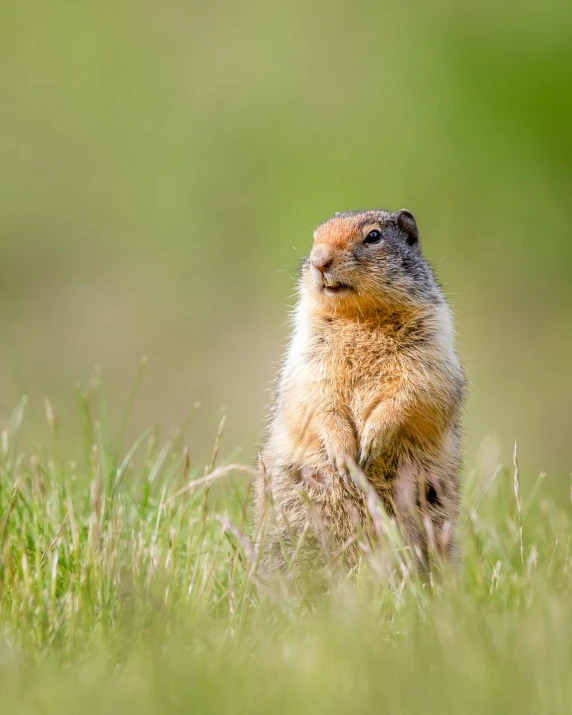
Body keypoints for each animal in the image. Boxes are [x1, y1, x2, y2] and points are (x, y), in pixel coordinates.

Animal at [255, 208, 464, 576]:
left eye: (374, 236)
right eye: (315, 236)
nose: (319, 261)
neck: (359, 317)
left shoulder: (432, 351)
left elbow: (415, 392)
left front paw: (372, 439)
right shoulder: (307, 357)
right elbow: (314, 397)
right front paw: (344, 451)